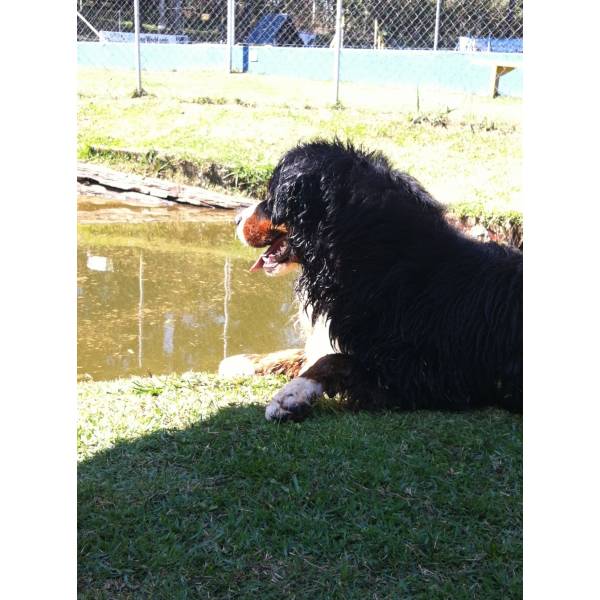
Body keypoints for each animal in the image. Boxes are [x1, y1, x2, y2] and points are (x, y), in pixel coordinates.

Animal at [231, 141, 520, 422]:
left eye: (271, 198)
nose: (236, 219)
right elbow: (301, 354)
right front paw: (242, 362)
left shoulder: (427, 375)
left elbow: (333, 360)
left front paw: (290, 396)